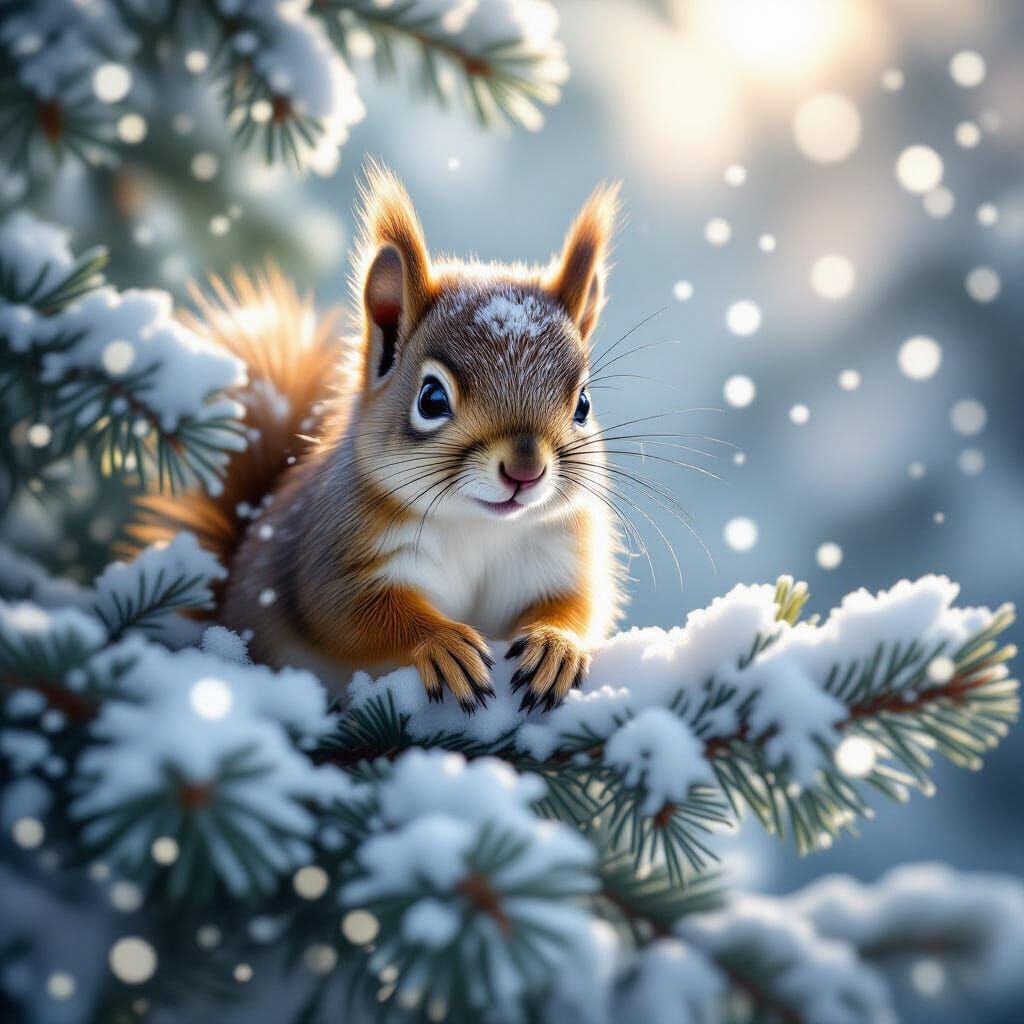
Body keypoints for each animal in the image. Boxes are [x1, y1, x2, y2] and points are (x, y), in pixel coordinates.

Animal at [130, 164, 625, 712]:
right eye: (431, 398)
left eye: (582, 404)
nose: (525, 471)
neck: (477, 527)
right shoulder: (332, 551)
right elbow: (353, 613)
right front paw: (444, 643)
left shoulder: (559, 555)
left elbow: (577, 604)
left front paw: (555, 645)